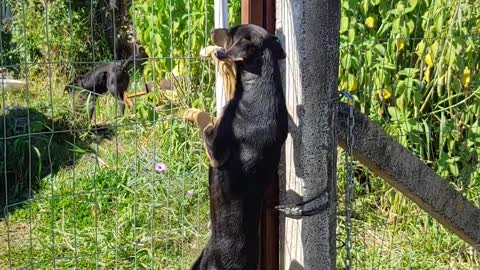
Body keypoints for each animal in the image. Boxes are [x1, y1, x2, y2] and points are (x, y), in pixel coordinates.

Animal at [185, 24, 288, 268]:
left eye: (231, 33)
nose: (213, 30)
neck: (261, 85)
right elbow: (228, 73)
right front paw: (211, 52)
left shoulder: (216, 150)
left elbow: (206, 119)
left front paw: (192, 112)